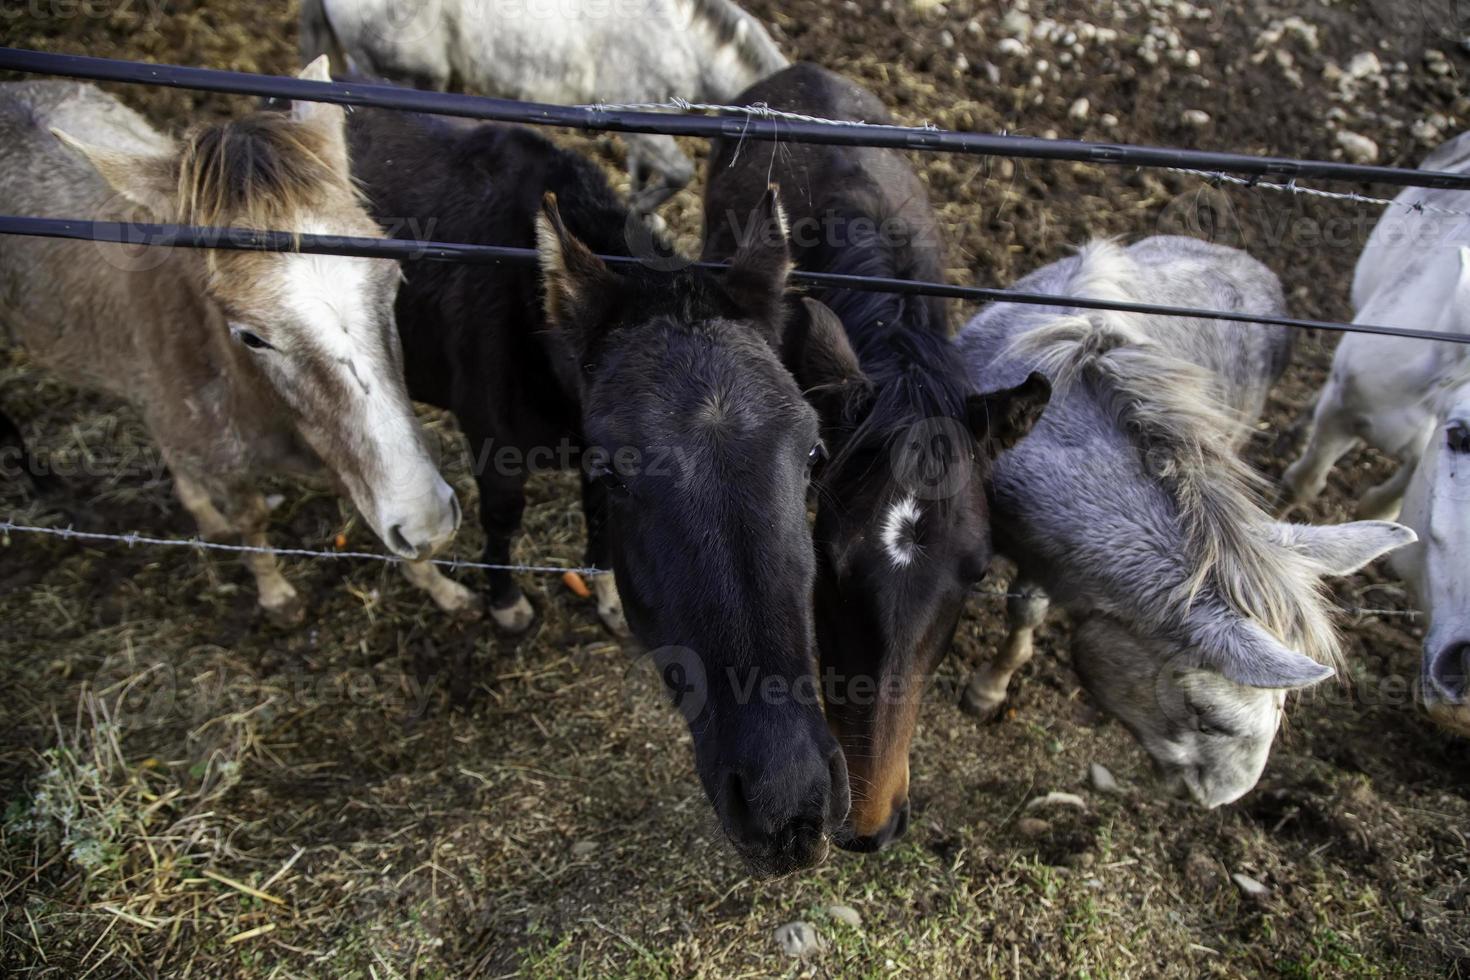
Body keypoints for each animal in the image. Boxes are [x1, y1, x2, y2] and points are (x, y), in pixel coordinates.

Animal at [343, 105, 852, 875]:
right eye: (621, 468)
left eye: (815, 453)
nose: (788, 804)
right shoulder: (496, 443)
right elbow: (504, 518)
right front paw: (506, 603)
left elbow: (593, 530)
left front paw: (606, 597)